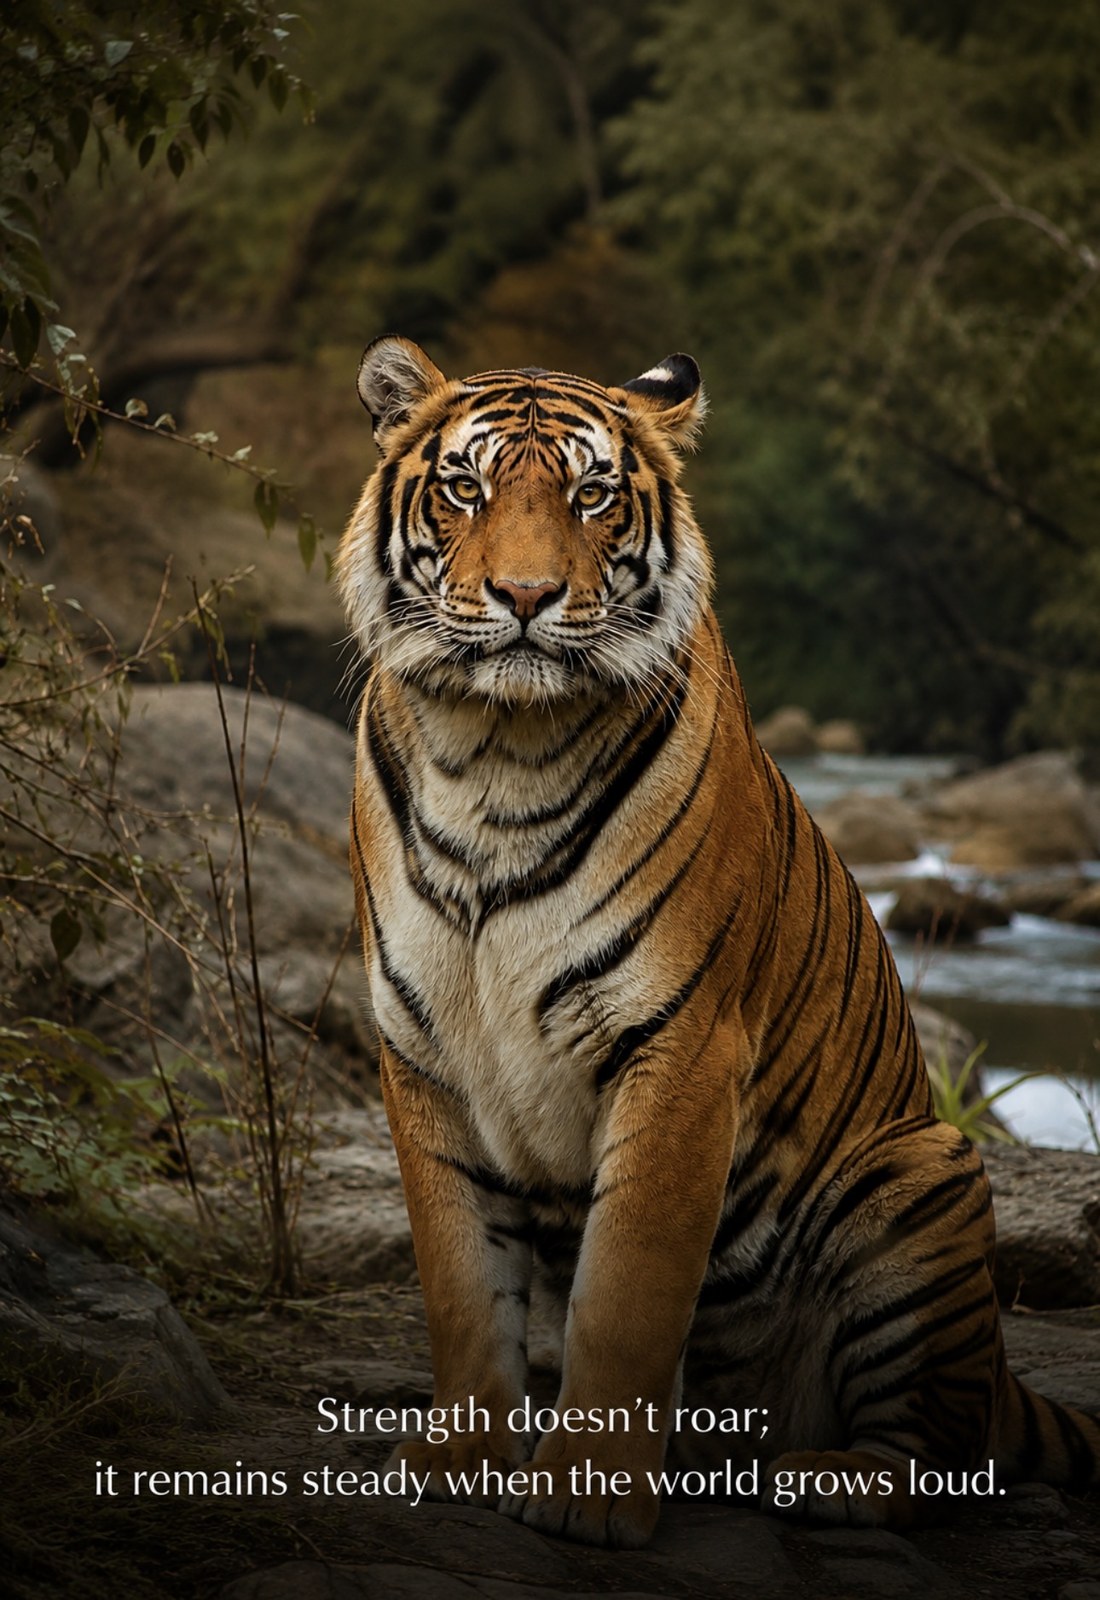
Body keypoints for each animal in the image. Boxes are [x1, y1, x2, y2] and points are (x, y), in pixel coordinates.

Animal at [337, 334, 1100, 1550]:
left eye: (590, 495)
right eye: (464, 488)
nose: (523, 596)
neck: (494, 750)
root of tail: (1000, 1372)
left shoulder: (681, 1046)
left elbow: (627, 1292)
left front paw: (588, 1495)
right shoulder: (422, 1054)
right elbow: (462, 1284)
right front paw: (459, 1461)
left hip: (920, 1173)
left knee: (934, 1452)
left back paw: (822, 1479)